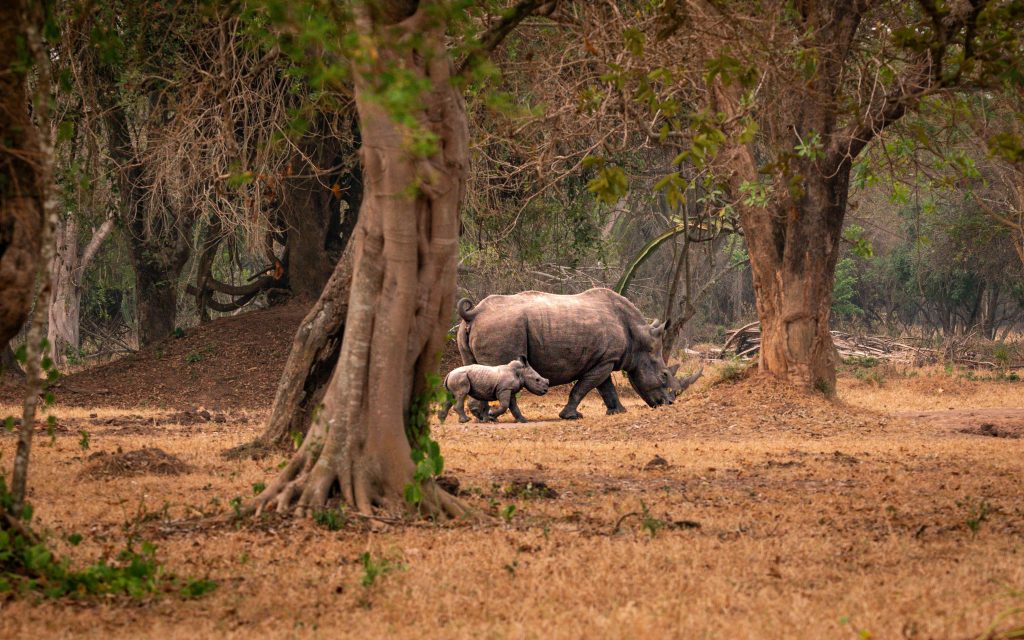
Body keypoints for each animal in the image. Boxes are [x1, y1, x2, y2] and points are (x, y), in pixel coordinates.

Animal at [456, 288, 702, 420]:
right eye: (664, 375)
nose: (668, 403)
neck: (638, 339)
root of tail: (475, 313)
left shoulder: (605, 359)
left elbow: (606, 387)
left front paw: (618, 412)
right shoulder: (605, 360)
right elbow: (584, 387)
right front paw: (571, 416)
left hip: (472, 330)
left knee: (474, 368)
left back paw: (482, 417)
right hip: (503, 328)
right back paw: (488, 417)